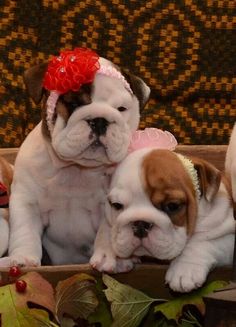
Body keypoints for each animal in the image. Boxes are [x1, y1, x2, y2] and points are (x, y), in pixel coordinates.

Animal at [0, 49, 150, 270]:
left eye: (122, 109)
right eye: (73, 103)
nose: (100, 120)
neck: (76, 169)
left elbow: (106, 232)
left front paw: (110, 258)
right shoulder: (27, 201)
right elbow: (25, 230)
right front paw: (23, 258)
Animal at [91, 127, 236, 292]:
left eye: (172, 206)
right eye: (116, 205)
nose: (140, 224)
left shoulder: (228, 237)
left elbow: (203, 241)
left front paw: (185, 269)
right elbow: (108, 227)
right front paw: (110, 253)